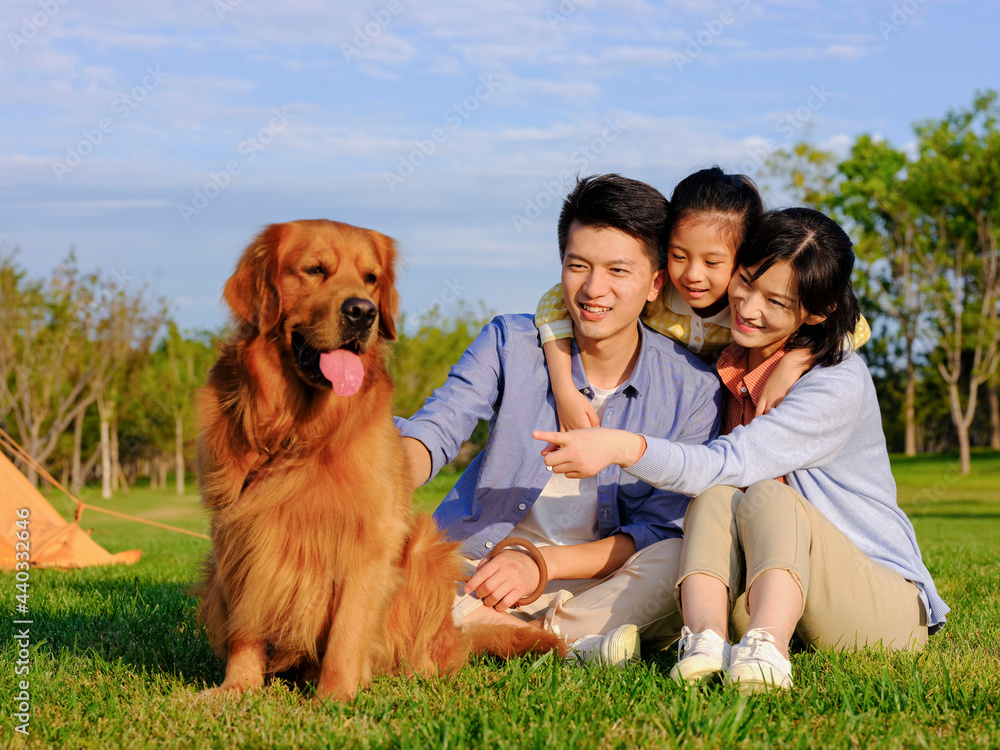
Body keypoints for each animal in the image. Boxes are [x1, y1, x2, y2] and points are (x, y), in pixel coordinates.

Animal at [195, 220, 564, 704]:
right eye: (314, 269)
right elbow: (247, 620)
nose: (362, 312)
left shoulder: (373, 538)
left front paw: (335, 698)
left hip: (426, 552)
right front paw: (236, 687)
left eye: (370, 278)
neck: (301, 430)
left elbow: (347, 631)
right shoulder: (241, 530)